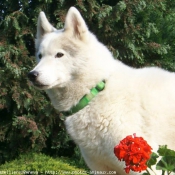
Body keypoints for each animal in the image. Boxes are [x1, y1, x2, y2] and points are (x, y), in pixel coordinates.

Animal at [28, 6, 175, 175]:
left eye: (59, 55)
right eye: (40, 56)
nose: (32, 75)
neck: (95, 92)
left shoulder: (145, 166)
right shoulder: (100, 168)